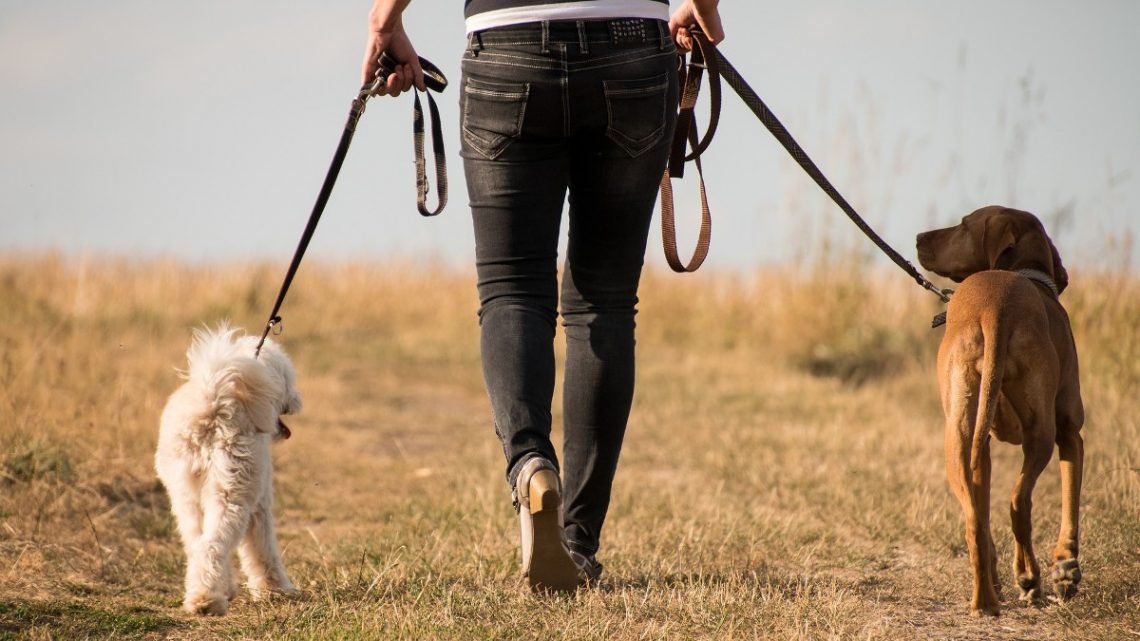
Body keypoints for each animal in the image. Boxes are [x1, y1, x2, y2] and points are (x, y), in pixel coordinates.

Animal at [158, 323, 307, 615]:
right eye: (288, 380)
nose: (297, 400)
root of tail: (213, 402)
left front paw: (228, 587)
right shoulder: (260, 505)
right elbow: (263, 550)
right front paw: (276, 589)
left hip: (185, 497)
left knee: (196, 544)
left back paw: (202, 594)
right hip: (232, 494)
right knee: (212, 545)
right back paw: (207, 602)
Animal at [916, 204, 1085, 615]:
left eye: (963, 225)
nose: (918, 238)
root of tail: (996, 307)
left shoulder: (985, 444)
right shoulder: (1070, 431)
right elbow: (1070, 506)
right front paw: (1066, 569)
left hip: (958, 436)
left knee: (975, 519)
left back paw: (986, 599)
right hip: (1041, 434)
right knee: (1018, 502)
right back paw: (1030, 579)